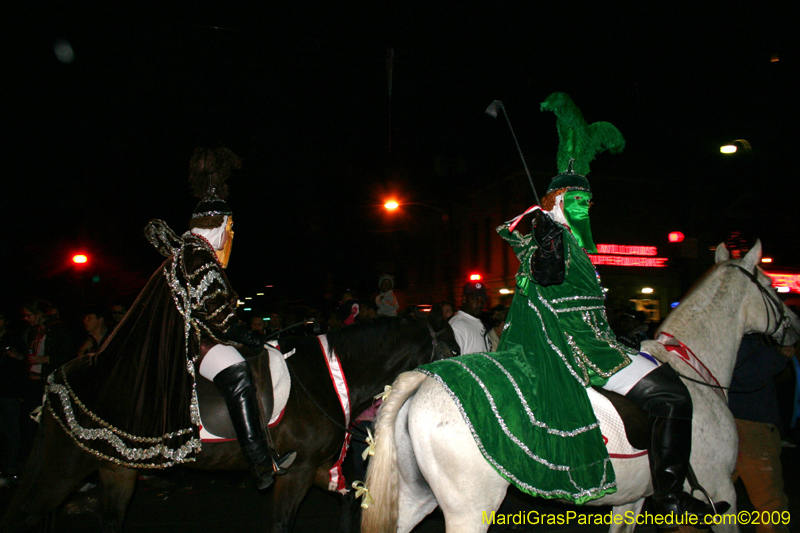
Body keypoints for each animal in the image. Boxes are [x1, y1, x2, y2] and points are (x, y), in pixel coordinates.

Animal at [0, 308, 456, 532]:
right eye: (451, 350)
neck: (325, 378)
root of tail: (62, 374)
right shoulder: (294, 473)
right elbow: (281, 523)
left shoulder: (318, 469)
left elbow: (352, 502)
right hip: (64, 466)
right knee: (23, 514)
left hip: (117, 467)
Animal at [362, 242, 800, 532]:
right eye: (771, 284)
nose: (794, 325)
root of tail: (424, 379)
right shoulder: (721, 491)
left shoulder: (631, 501)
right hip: (469, 509)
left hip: (415, 498)